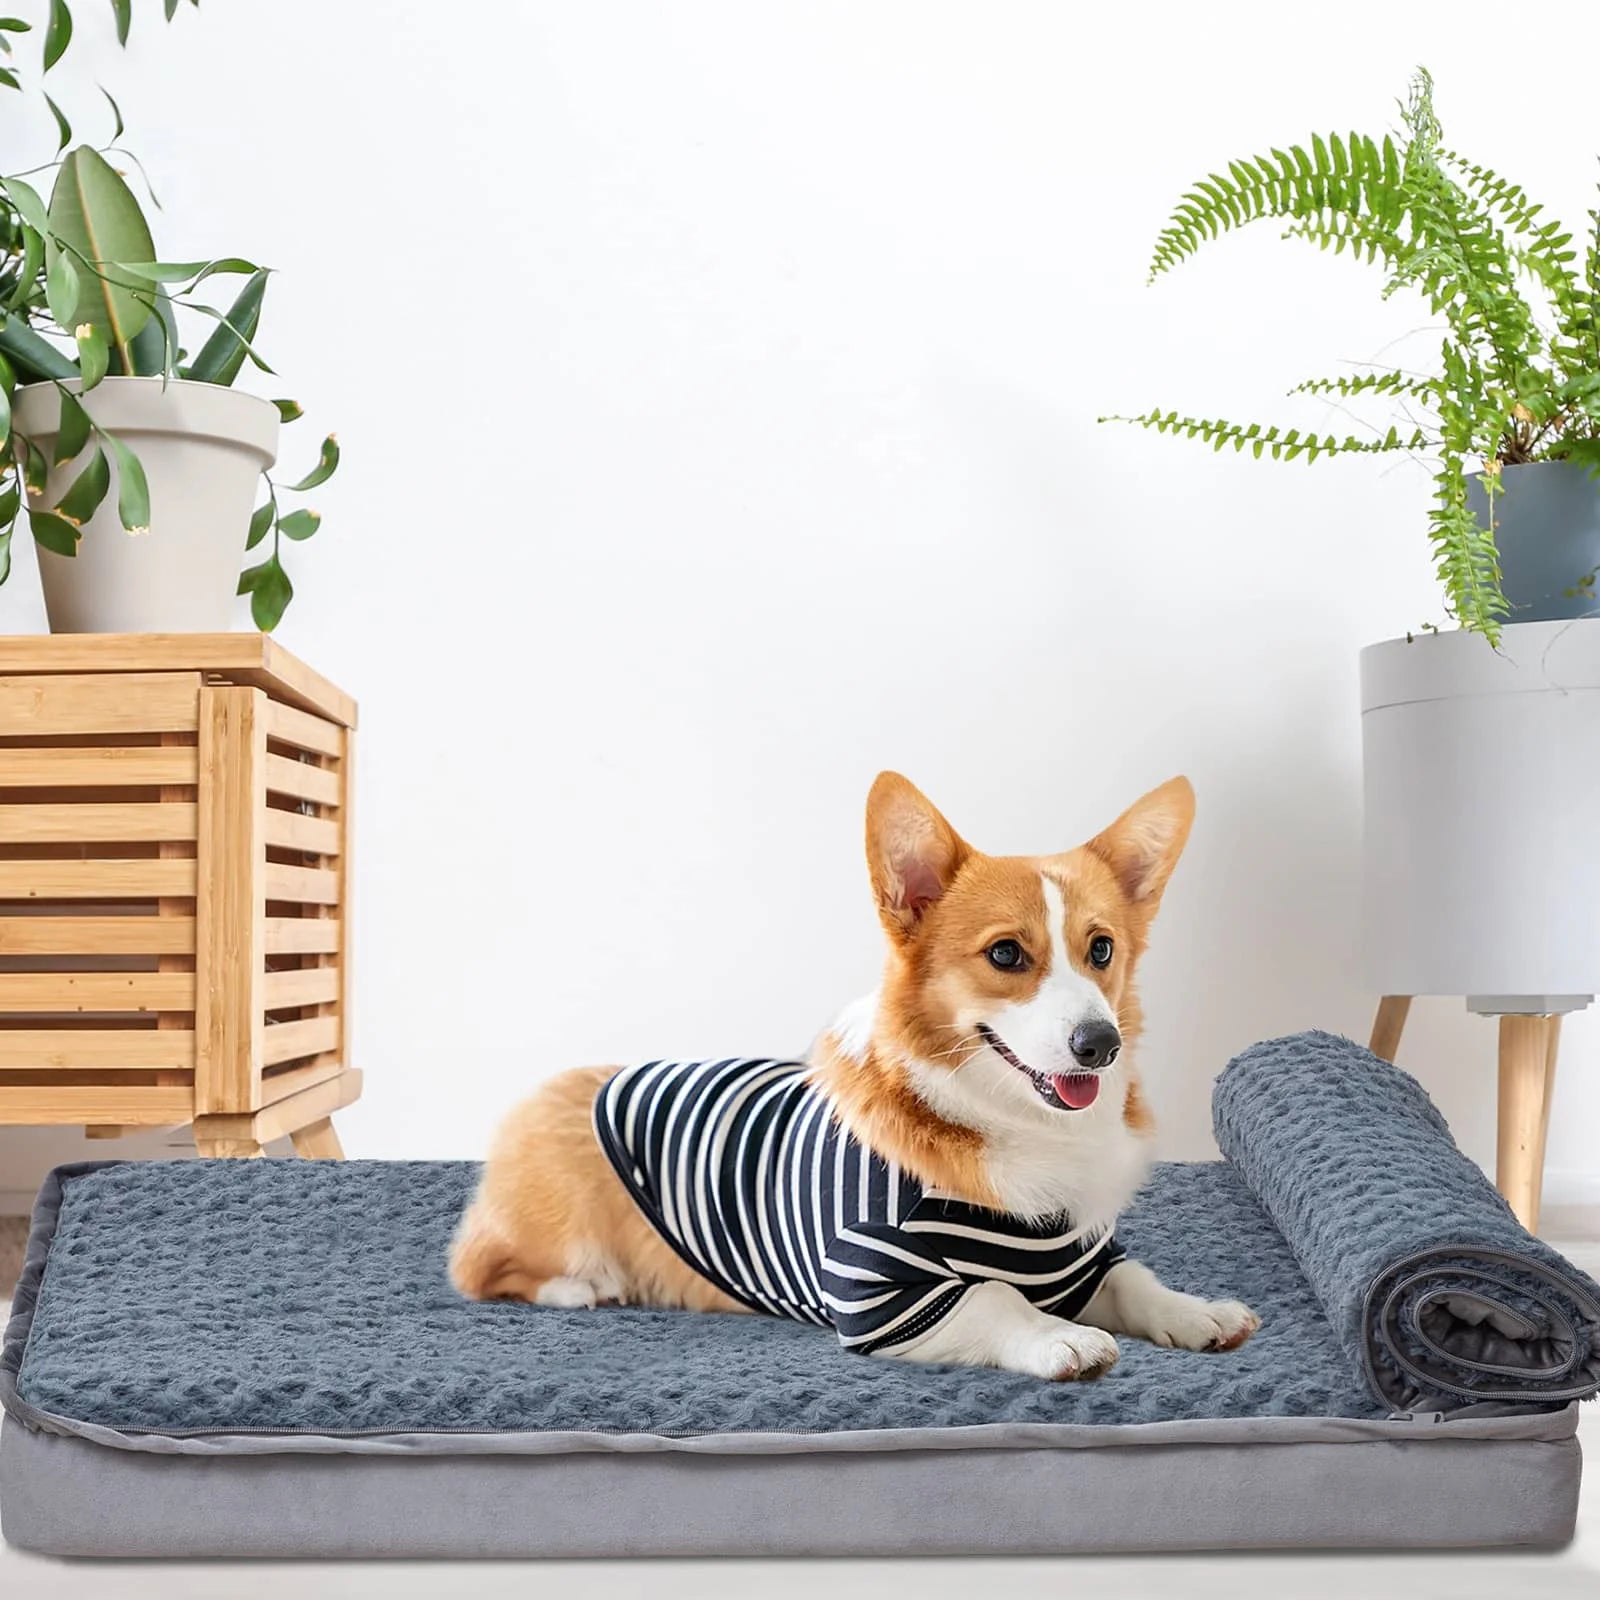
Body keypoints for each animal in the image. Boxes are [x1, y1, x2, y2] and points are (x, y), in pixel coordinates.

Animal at [444, 768, 1254, 1382]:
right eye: (1006, 955)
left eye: (1102, 949)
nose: (1100, 1044)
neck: (1015, 1122)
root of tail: (543, 1091)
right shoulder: (880, 1291)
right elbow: (995, 1297)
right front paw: (1063, 1338)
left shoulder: (1080, 1260)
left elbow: (1135, 1279)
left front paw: (1197, 1312)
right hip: (552, 1225)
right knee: (479, 1267)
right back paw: (583, 1287)